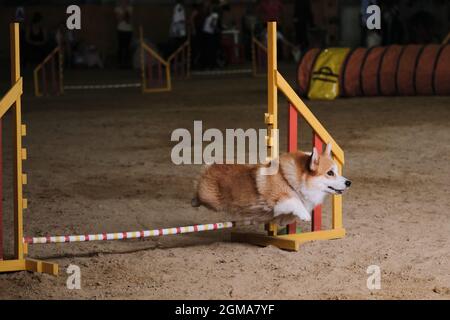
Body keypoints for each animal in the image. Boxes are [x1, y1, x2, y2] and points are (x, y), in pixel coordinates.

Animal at [192, 142, 350, 225]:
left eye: (337, 171)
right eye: (330, 173)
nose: (349, 182)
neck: (292, 180)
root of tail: (211, 166)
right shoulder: (276, 199)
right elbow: (294, 200)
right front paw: (305, 215)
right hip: (211, 200)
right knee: (199, 195)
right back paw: (194, 201)